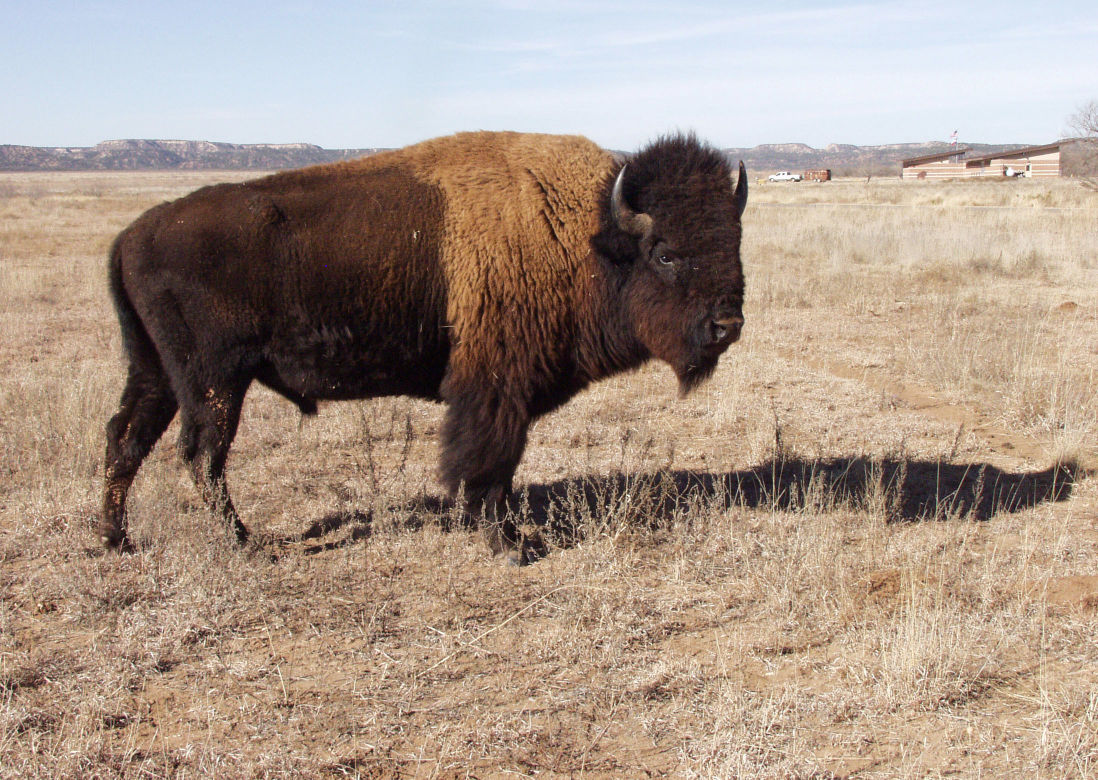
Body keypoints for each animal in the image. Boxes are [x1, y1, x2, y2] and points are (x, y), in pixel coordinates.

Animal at [101, 130, 747, 563]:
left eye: (733, 238)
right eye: (665, 253)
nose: (728, 323)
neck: (586, 234)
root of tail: (130, 235)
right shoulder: (494, 391)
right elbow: (486, 465)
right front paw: (509, 545)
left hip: (157, 373)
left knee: (126, 438)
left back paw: (114, 540)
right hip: (214, 380)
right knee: (202, 453)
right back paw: (246, 544)